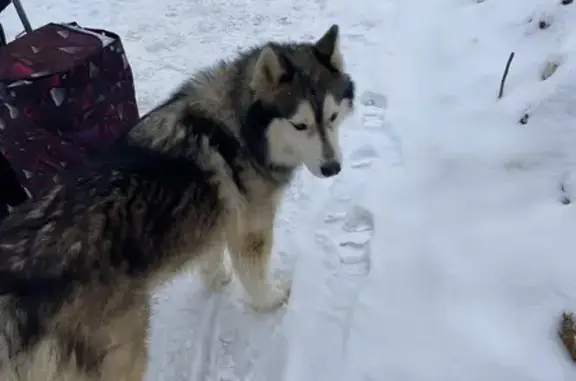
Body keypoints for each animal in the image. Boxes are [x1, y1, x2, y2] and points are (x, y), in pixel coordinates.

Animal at [0, 25, 356, 378]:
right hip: (124, 355)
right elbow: (255, 277)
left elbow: (211, 257)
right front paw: (271, 301)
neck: (238, 128)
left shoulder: (217, 217)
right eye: (300, 125)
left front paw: (218, 279)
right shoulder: (252, 229)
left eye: (332, 117)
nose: (332, 168)